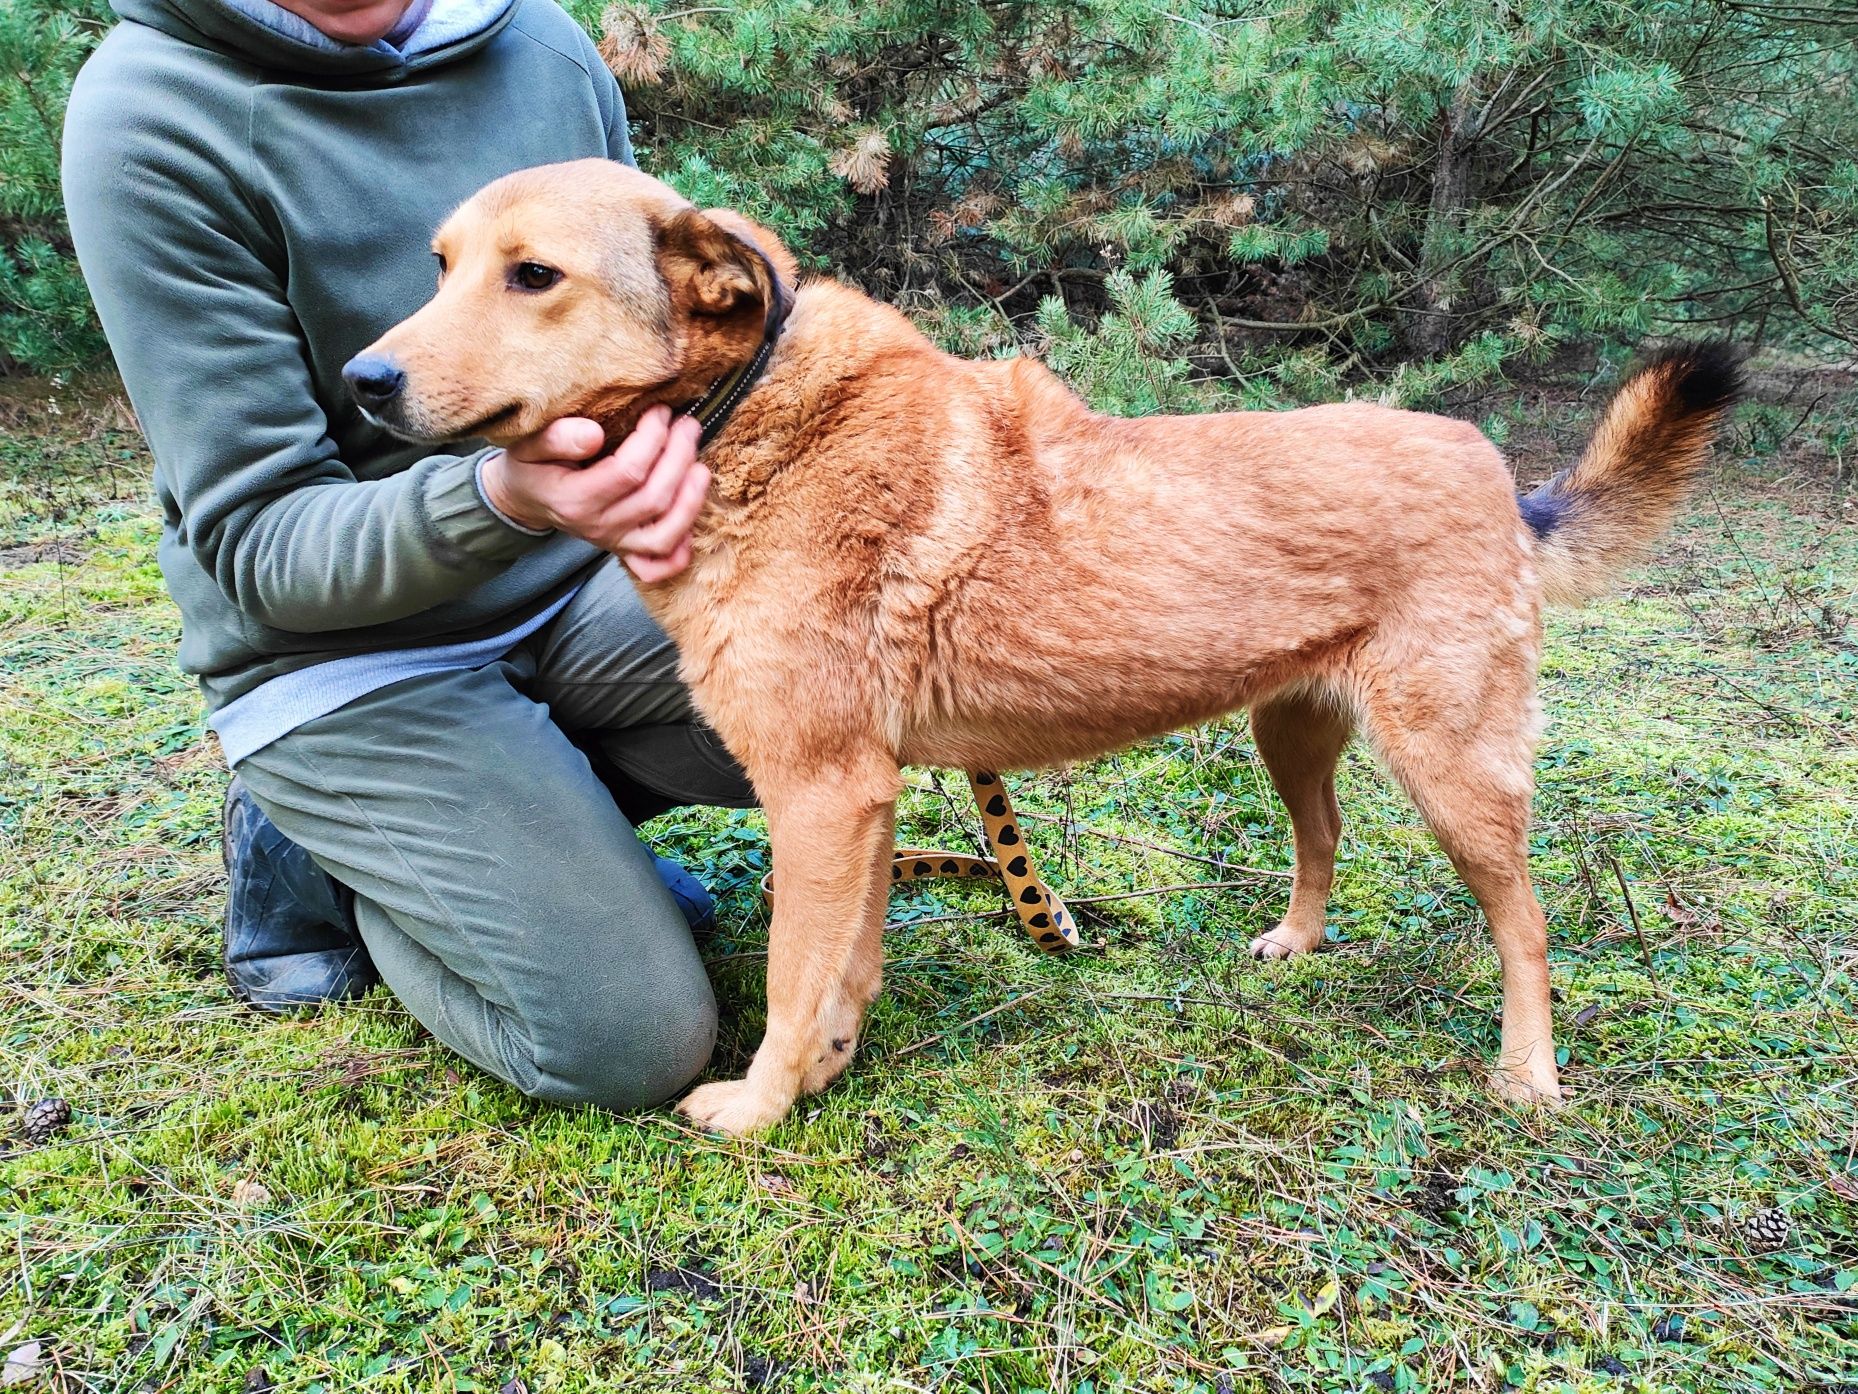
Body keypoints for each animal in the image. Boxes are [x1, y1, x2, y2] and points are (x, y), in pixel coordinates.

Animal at [345, 160, 1739, 1137]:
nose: (362, 379)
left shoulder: (819, 791)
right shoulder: (864, 795)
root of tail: (1497, 475)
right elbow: (845, 965)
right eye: (441, 264)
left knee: (1526, 923)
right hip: (1288, 727)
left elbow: (795, 976)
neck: (748, 418)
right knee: (1324, 835)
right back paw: (1295, 942)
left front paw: (759, 1104)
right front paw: (830, 1071)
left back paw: (1528, 1071)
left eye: (533, 275)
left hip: (1455, 770)